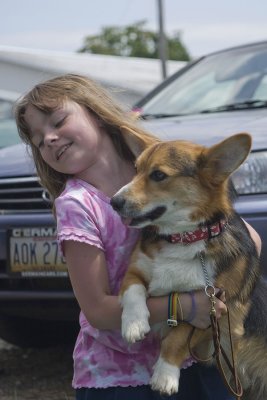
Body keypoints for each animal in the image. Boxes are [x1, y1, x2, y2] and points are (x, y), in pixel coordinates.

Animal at [110, 133, 267, 398]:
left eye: (158, 175)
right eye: (136, 170)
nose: (114, 202)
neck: (183, 238)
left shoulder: (216, 310)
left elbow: (177, 338)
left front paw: (165, 375)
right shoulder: (135, 270)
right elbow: (133, 290)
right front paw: (133, 324)